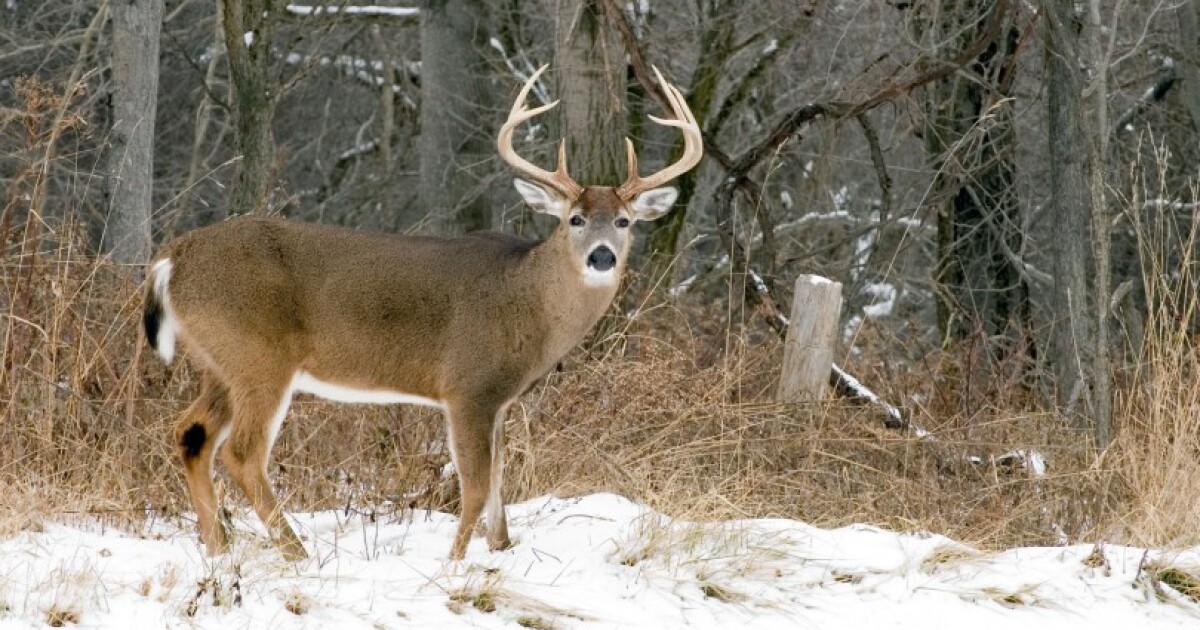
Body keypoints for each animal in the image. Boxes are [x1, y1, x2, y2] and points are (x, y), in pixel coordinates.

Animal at [142, 65, 702, 561]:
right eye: (575, 219)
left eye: (625, 221)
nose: (601, 256)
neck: (527, 300)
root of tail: (171, 260)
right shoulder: (468, 386)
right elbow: (476, 487)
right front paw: (453, 563)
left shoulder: (499, 400)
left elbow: (500, 486)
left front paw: (498, 552)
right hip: (259, 358)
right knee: (242, 453)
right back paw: (296, 554)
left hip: (220, 363)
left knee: (191, 435)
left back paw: (219, 551)